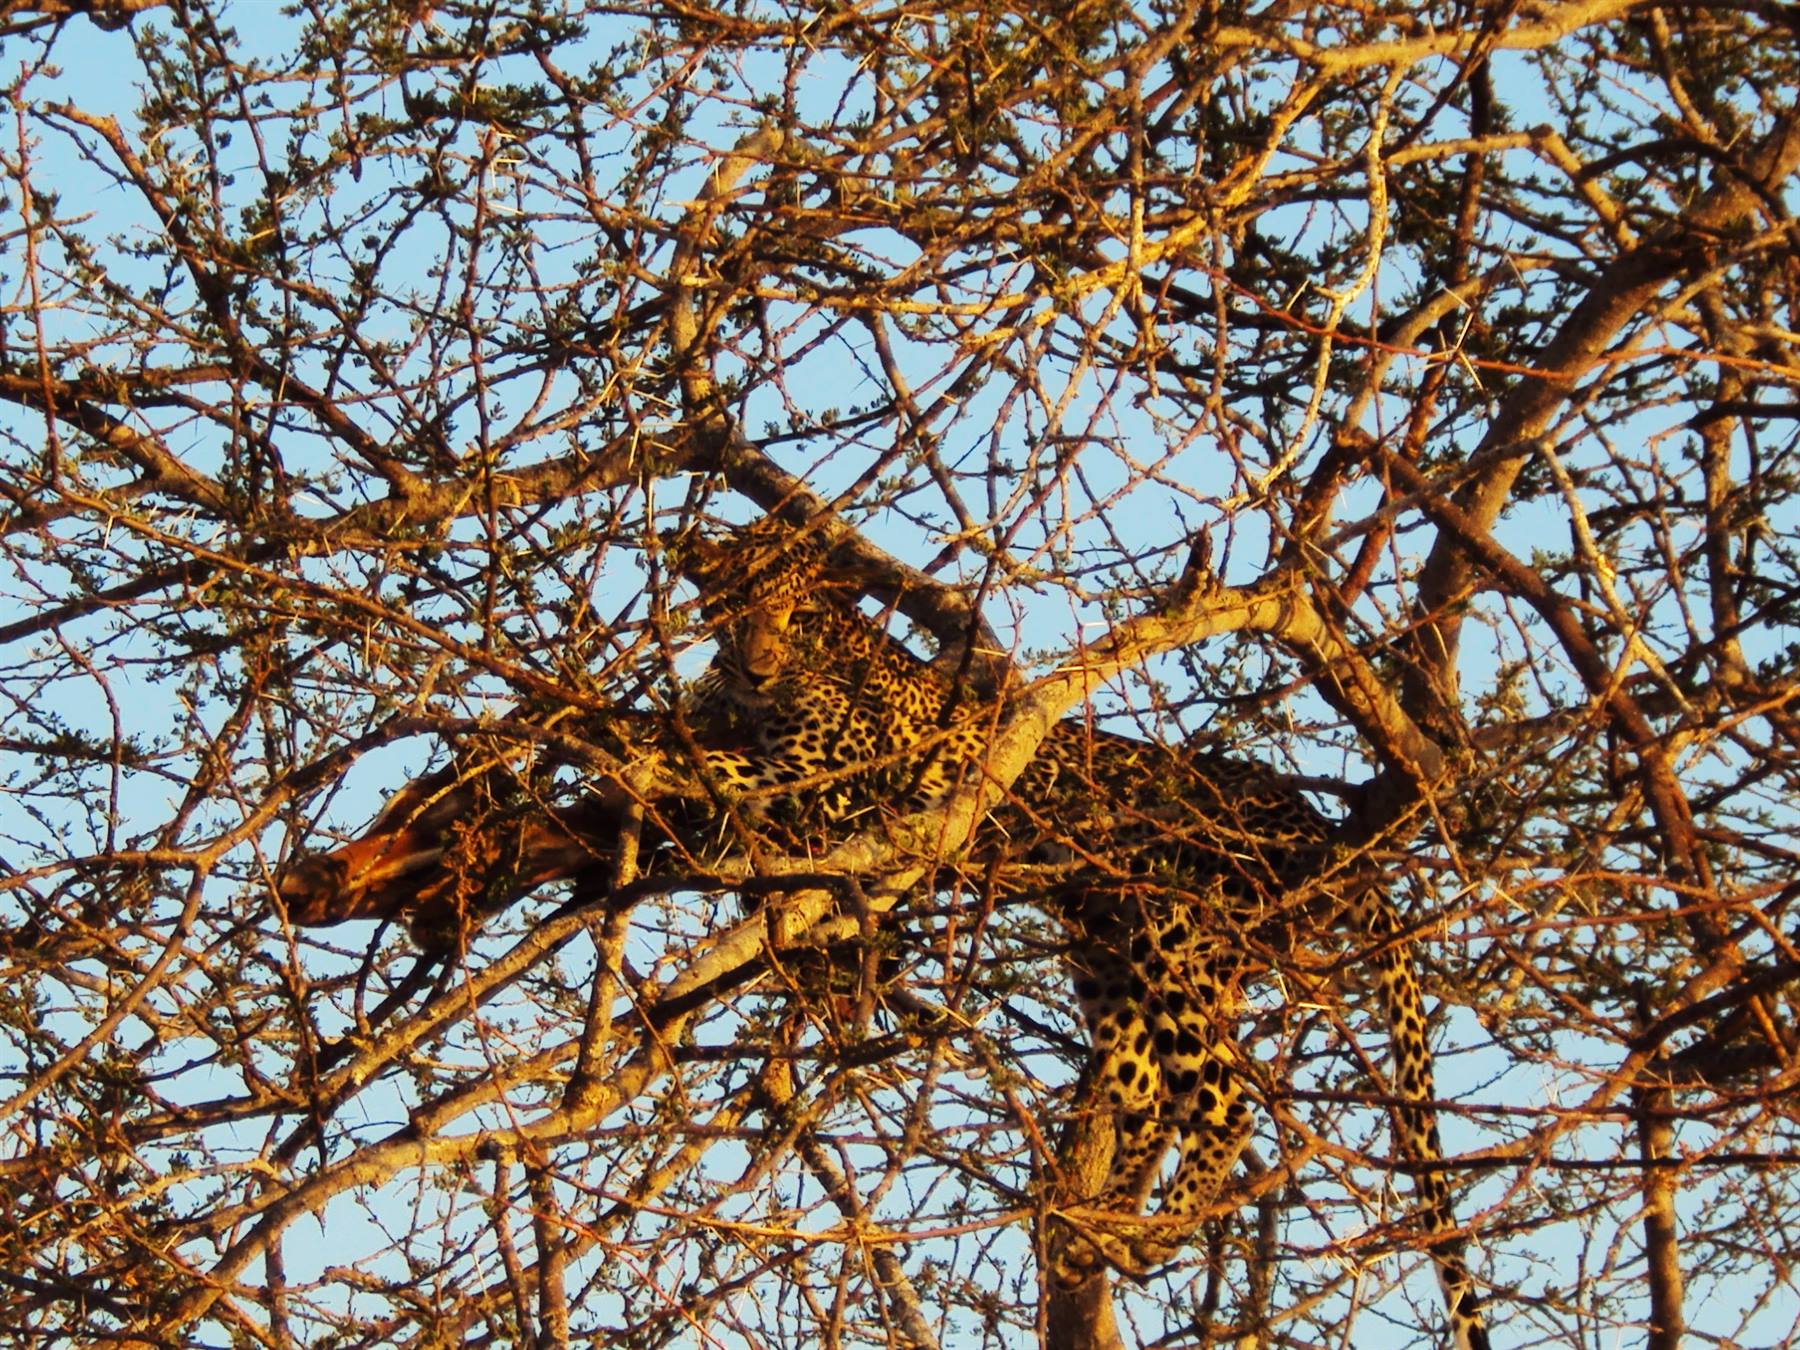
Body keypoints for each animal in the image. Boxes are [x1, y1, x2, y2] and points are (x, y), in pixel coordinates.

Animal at [682, 520, 1492, 1350]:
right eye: (738, 608)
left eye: (800, 619)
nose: (757, 667)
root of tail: (1312, 821)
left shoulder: (837, 781)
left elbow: (714, 764)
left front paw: (667, 757)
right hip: (1107, 954)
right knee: (1151, 1095)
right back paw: (1097, 1226)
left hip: (1174, 933)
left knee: (1224, 1102)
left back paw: (1147, 1235)